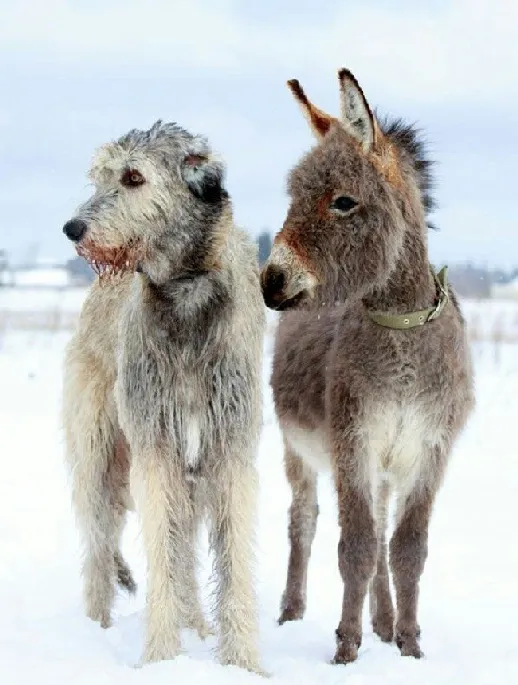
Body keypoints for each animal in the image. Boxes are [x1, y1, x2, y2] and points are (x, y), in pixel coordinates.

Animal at [62, 120, 264, 672]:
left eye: (134, 177)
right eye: (100, 175)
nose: (73, 229)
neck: (185, 291)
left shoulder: (230, 447)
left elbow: (233, 558)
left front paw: (243, 663)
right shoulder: (154, 447)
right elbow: (161, 553)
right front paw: (160, 659)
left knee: (185, 549)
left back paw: (197, 625)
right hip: (99, 453)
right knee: (99, 546)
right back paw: (93, 631)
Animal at [262, 69, 478, 664]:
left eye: (342, 201)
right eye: (293, 195)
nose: (270, 282)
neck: (400, 325)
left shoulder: (428, 452)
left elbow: (406, 548)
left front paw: (408, 645)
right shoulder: (352, 444)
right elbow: (354, 546)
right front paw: (345, 649)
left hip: (386, 463)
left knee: (382, 530)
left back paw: (383, 621)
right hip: (301, 452)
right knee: (304, 522)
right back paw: (292, 613)